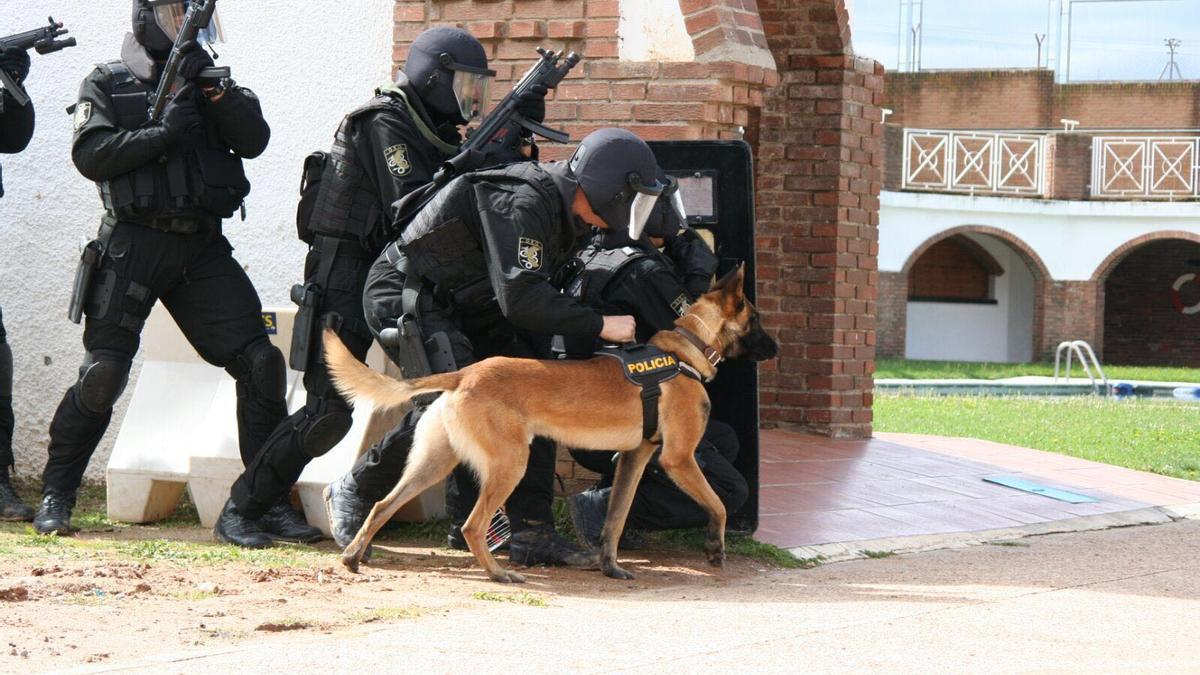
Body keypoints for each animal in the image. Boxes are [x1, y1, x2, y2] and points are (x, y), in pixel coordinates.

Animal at [324, 265, 777, 581]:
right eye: (757, 320)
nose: (775, 349)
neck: (687, 351)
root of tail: (465, 374)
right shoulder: (679, 459)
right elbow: (718, 503)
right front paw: (715, 548)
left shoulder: (634, 460)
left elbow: (615, 519)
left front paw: (611, 567)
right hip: (509, 465)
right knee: (472, 525)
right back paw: (498, 574)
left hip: (434, 464)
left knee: (383, 504)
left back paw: (354, 556)